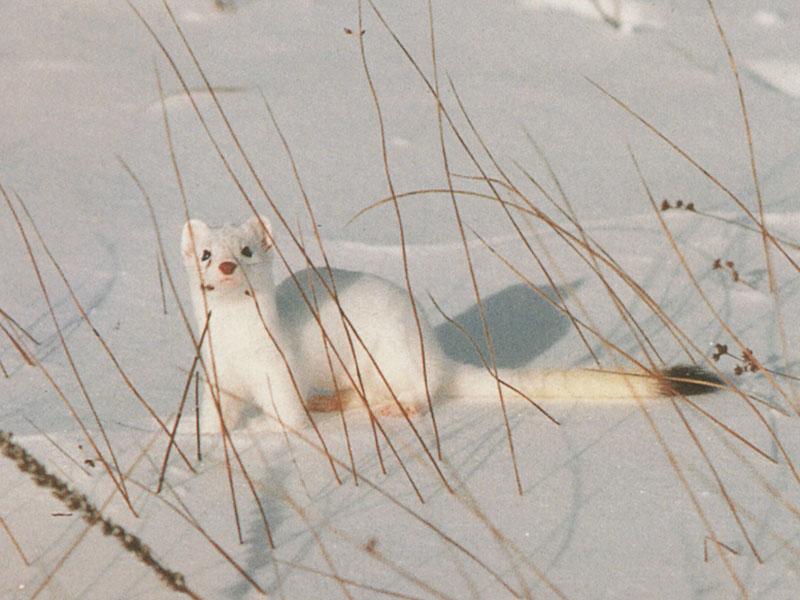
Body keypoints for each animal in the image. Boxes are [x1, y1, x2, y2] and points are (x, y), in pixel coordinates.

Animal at [183, 213, 724, 434]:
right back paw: (332, 400)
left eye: (247, 251)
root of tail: (436, 354)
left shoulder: (278, 372)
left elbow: (288, 416)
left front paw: (290, 437)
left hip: (391, 354)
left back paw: (394, 407)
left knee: (420, 391)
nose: (225, 267)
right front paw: (210, 440)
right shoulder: (216, 374)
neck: (238, 345)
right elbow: (216, 416)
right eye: (206, 254)